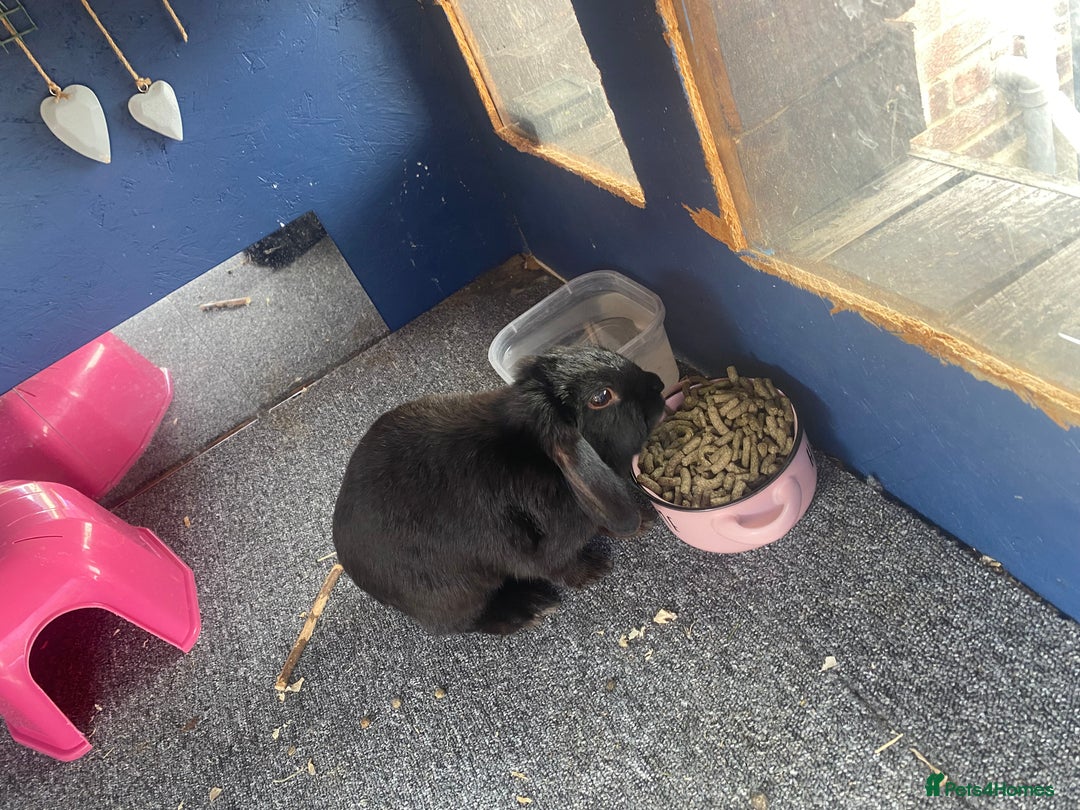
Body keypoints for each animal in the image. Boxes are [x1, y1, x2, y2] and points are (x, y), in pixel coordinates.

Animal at [332, 346, 666, 635]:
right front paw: (595, 570)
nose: (659, 384)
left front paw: (643, 524)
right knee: (466, 623)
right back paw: (530, 609)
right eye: (601, 396)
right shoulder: (538, 553)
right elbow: (561, 567)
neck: (538, 458)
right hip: (458, 592)